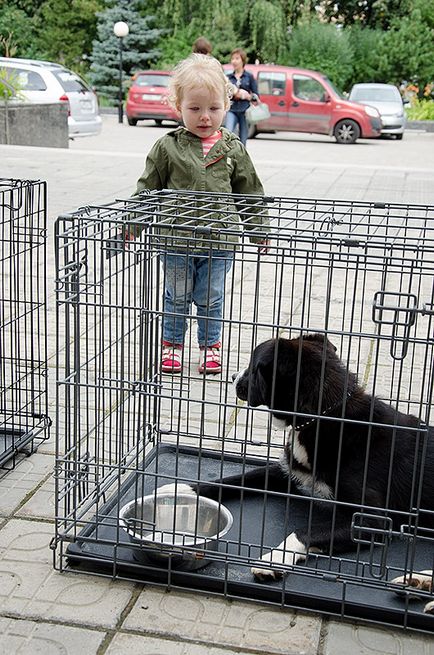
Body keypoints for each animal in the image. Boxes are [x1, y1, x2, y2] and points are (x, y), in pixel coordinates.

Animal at [160, 336, 434, 580]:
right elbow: (235, 479)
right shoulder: (288, 472)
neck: (323, 417)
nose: (233, 376)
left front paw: (274, 559)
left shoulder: (372, 520)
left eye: (253, 366)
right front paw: (180, 489)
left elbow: (302, 531)